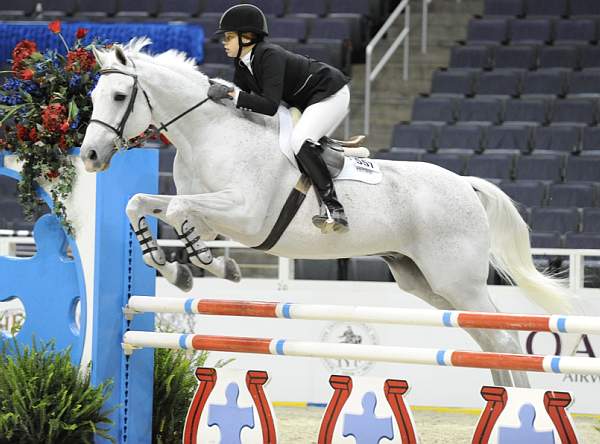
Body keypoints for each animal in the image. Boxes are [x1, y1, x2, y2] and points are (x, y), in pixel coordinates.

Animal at [82, 40, 580, 388]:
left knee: (506, 338)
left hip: (458, 281)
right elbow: (142, 204)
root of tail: (464, 185)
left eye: (120, 95)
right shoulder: (209, 210)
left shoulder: (244, 216)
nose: (89, 156)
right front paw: (168, 264)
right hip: (426, 283)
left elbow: (182, 212)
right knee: (487, 339)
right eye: (92, 96)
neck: (210, 133)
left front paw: (208, 266)